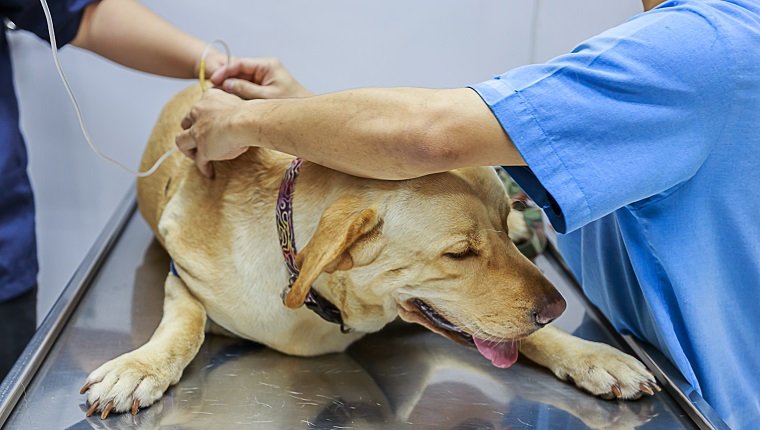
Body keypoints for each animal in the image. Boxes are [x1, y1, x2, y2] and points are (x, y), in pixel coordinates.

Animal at [78, 85, 660, 418]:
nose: (557, 307)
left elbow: (524, 340)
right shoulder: (184, 279)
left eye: (497, 222)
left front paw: (592, 356)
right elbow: (186, 324)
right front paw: (139, 368)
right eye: (460, 254)